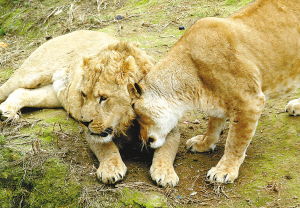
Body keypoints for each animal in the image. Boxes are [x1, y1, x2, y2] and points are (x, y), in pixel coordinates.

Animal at [0, 29, 180, 187]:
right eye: (84, 94)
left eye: (103, 98)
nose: (84, 122)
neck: (128, 121)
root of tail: (69, 33)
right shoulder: (93, 134)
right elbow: (107, 148)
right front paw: (111, 169)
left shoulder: (171, 127)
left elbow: (166, 150)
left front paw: (165, 174)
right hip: (30, 74)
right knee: (9, 88)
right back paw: (6, 113)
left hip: (54, 95)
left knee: (22, 92)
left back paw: (8, 112)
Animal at [129, 0, 300, 185]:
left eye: (138, 117)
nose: (142, 140)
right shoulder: (218, 102)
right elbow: (213, 125)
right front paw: (204, 143)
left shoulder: (250, 102)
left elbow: (235, 141)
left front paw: (224, 170)